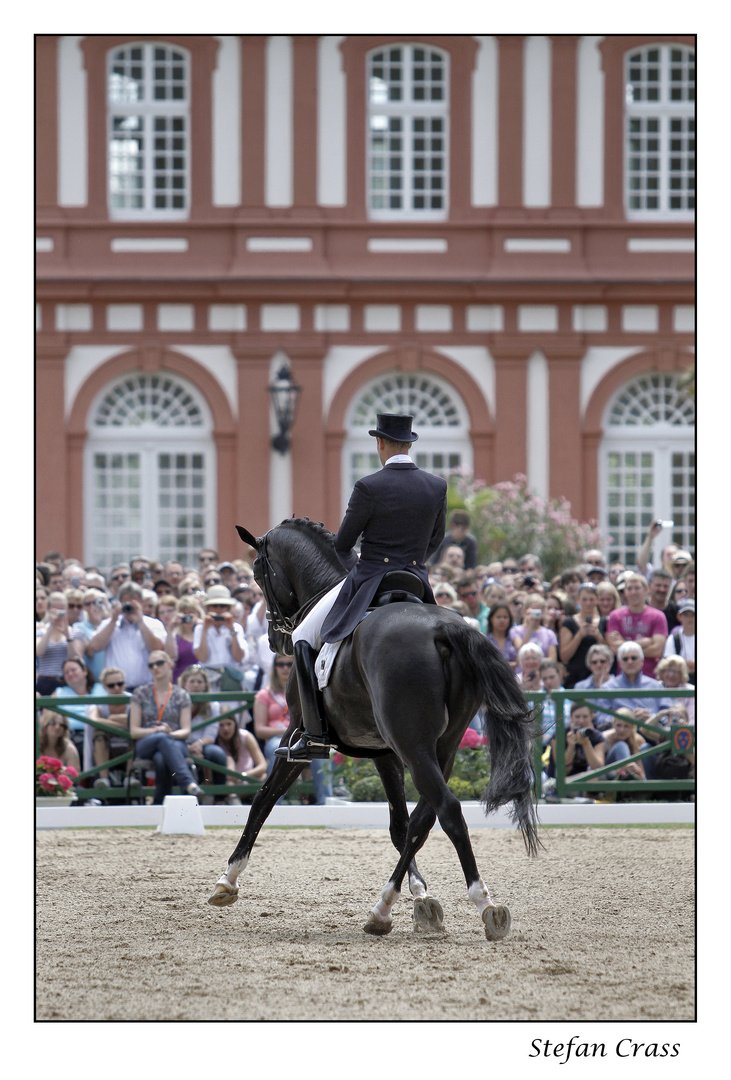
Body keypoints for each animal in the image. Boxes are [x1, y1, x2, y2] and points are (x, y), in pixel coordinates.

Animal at [208, 520, 539, 937]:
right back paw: (387, 907)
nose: (273, 639)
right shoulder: (384, 752)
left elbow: (263, 800)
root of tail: (443, 629)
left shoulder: (295, 735)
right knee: (425, 817)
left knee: (448, 809)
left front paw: (227, 881)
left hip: (414, 746)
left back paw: (478, 903)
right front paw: (421, 897)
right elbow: (400, 826)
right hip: (441, 748)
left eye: (256, 572)